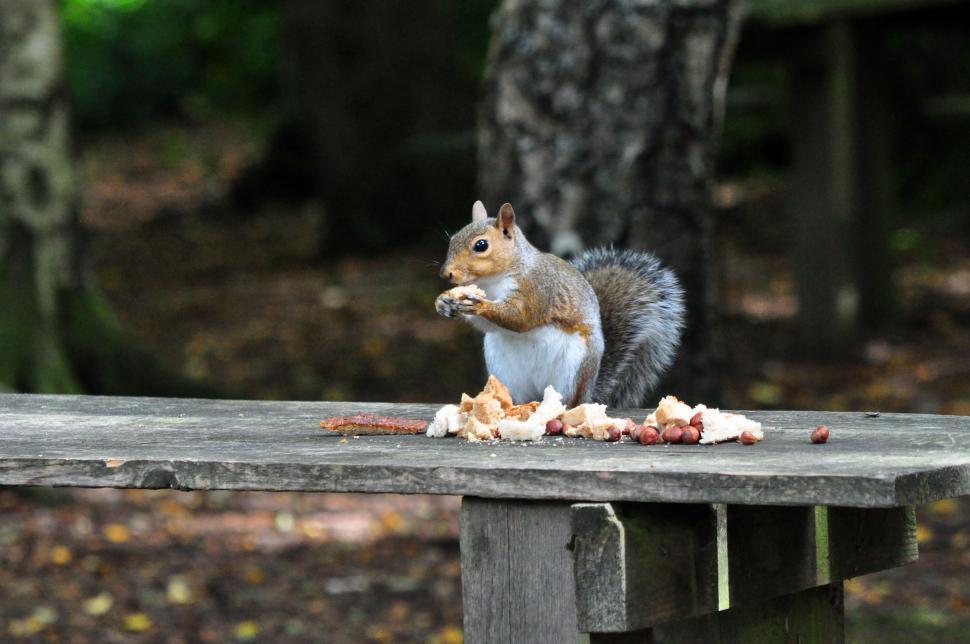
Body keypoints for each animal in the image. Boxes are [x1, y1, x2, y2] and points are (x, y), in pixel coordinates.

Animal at [436, 201, 685, 409]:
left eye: (481, 245)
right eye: (452, 239)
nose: (446, 274)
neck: (493, 281)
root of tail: (589, 394)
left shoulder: (540, 289)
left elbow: (520, 318)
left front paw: (479, 305)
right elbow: (489, 325)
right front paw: (444, 303)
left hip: (573, 370)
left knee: (570, 400)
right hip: (503, 370)